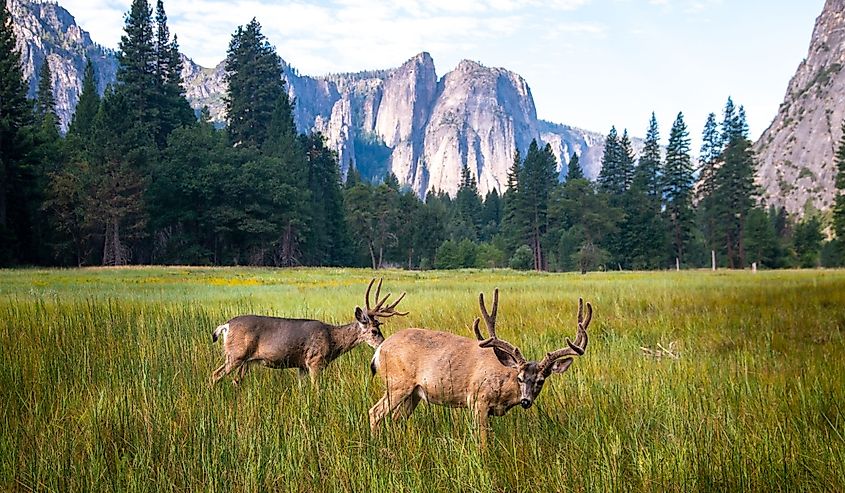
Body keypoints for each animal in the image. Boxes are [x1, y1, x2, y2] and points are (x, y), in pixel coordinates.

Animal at [211, 278, 408, 386]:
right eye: (374, 331)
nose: (383, 344)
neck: (333, 339)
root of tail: (226, 325)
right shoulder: (315, 361)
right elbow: (317, 390)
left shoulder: (302, 366)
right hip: (235, 354)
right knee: (215, 375)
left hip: (247, 361)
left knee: (235, 381)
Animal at [370, 288, 588, 446]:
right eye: (519, 378)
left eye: (541, 380)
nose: (526, 401)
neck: (504, 382)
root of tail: (380, 349)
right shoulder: (477, 400)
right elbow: (483, 439)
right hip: (397, 383)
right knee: (375, 412)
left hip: (414, 393)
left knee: (397, 418)